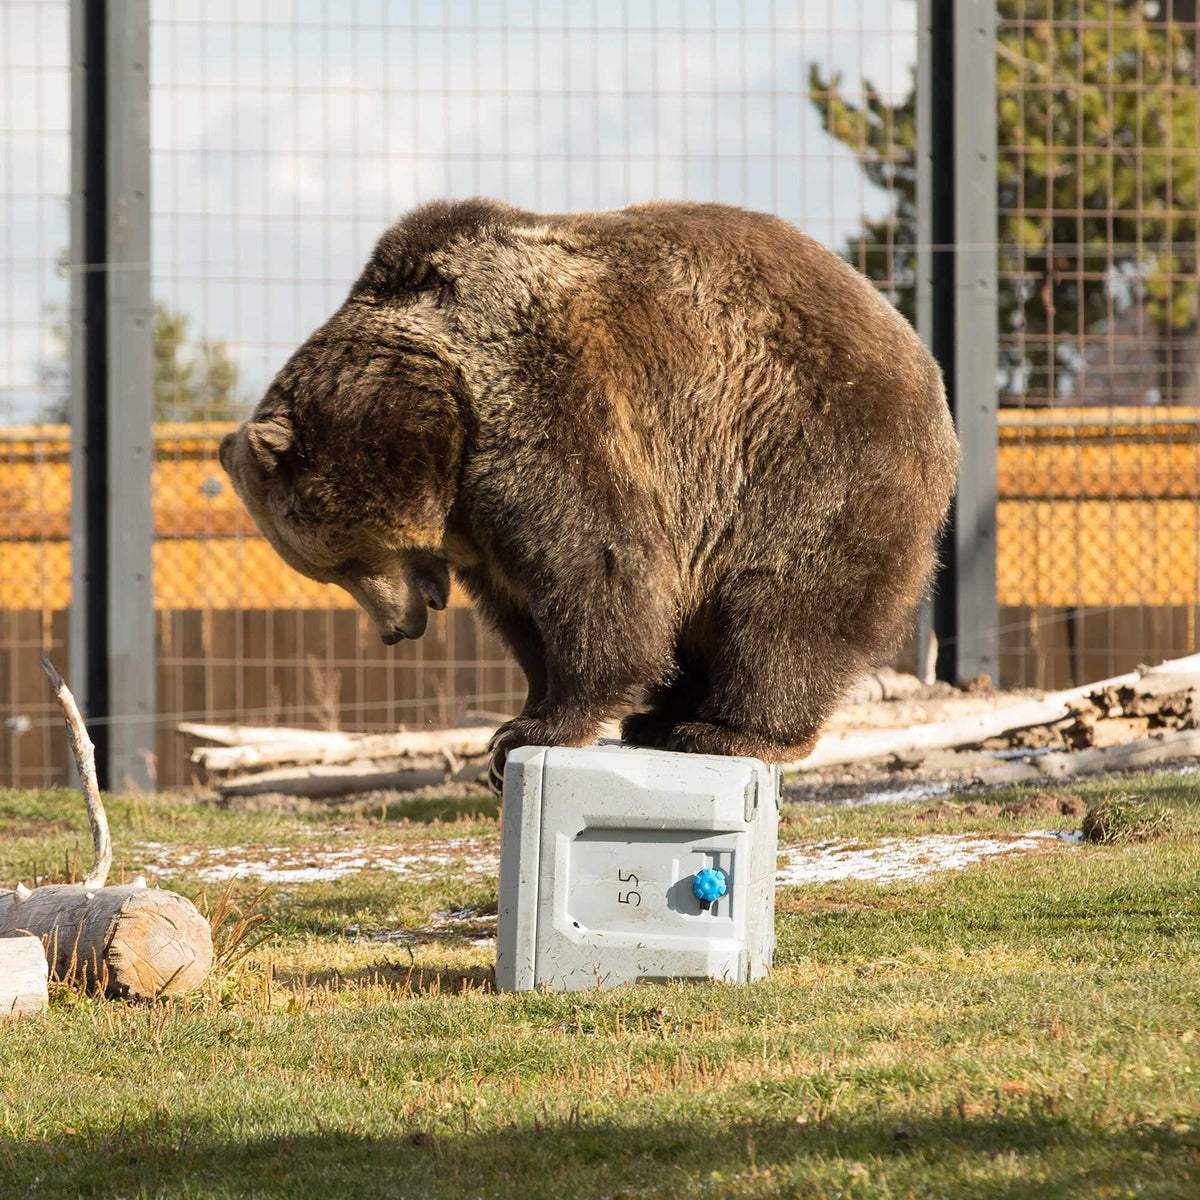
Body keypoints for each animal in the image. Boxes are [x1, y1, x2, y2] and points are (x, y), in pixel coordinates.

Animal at [220, 199, 959, 793]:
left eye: (339, 562)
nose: (398, 628)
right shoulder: (479, 523)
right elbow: (522, 609)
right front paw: (521, 716)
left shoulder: (547, 406)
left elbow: (597, 565)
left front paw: (535, 729)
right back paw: (663, 717)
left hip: (802, 456)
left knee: (781, 603)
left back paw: (728, 728)